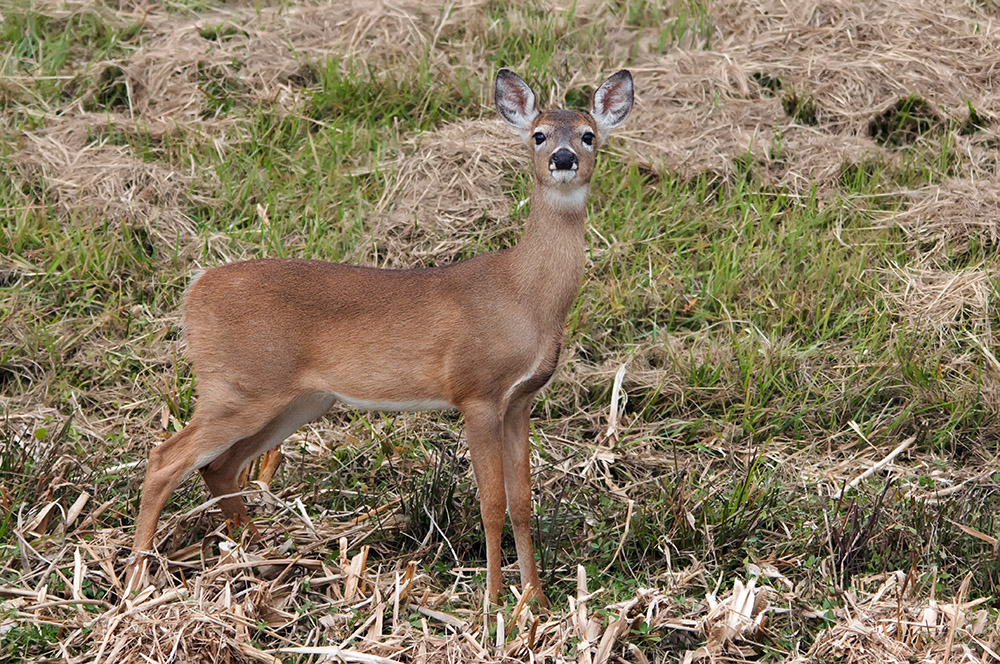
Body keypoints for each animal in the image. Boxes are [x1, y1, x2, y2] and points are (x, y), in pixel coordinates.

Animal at [127, 67, 632, 608]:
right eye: (538, 135)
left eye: (588, 134)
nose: (564, 159)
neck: (523, 295)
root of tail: (195, 288)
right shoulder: (476, 392)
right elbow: (492, 503)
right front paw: (494, 603)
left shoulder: (520, 400)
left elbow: (521, 501)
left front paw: (535, 602)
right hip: (239, 386)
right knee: (165, 460)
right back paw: (135, 583)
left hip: (297, 399)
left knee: (219, 467)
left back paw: (261, 561)